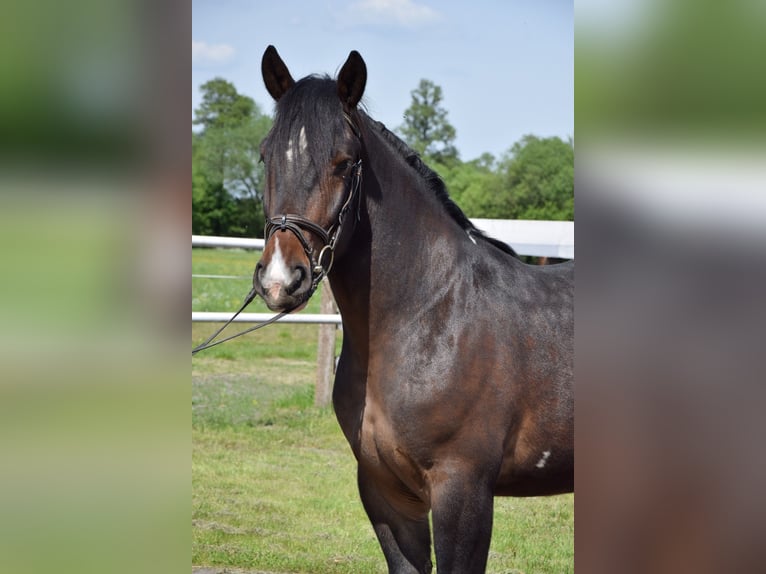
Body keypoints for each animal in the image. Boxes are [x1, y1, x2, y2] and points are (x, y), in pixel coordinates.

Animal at [255, 46, 572, 574]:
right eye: (265, 156)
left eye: (345, 162)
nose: (281, 279)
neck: (432, 320)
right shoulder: (386, 494)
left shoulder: (462, 494)